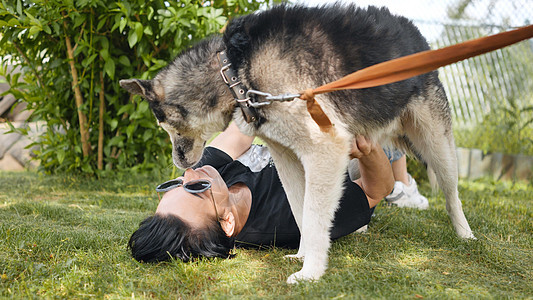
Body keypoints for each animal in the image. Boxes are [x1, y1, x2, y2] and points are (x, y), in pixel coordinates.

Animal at [120, 3, 474, 282]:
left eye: (167, 126)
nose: (180, 165)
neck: (234, 69)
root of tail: (417, 36)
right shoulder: (289, 159)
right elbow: (301, 210)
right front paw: (304, 256)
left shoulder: (322, 150)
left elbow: (314, 216)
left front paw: (311, 271)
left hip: (436, 146)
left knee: (451, 195)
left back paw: (465, 233)